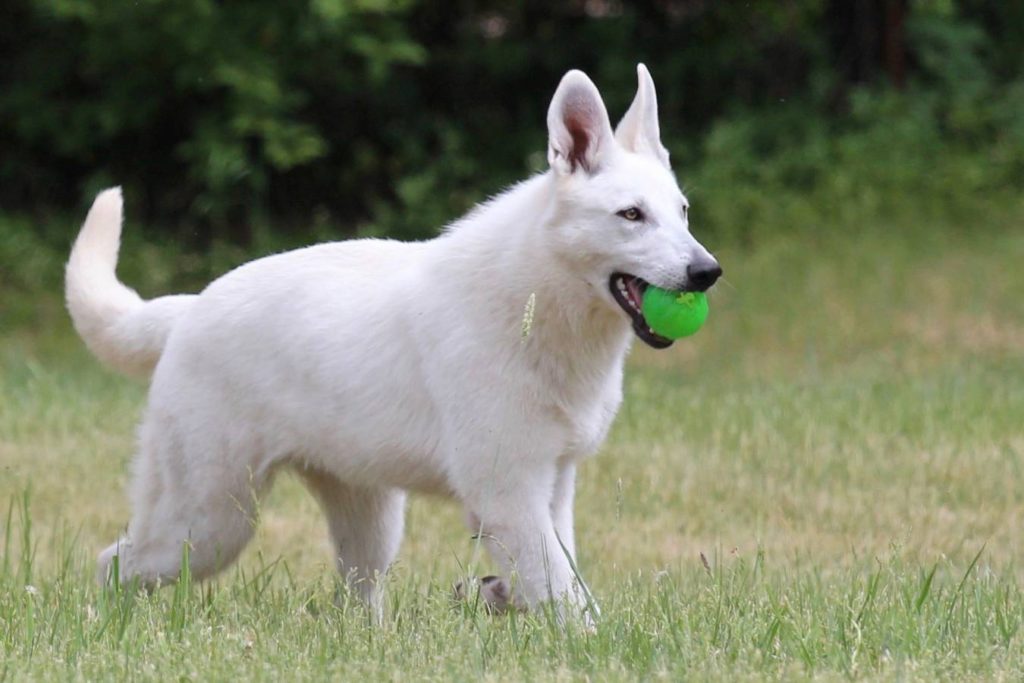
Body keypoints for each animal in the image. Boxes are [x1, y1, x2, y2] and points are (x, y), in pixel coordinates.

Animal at [64, 63, 720, 618]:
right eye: (631, 215)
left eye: (683, 212)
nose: (707, 273)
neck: (537, 304)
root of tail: (188, 308)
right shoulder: (510, 497)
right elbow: (569, 600)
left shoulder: (550, 492)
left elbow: (560, 583)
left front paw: (503, 599)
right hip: (208, 524)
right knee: (113, 563)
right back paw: (108, 627)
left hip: (367, 525)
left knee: (356, 605)